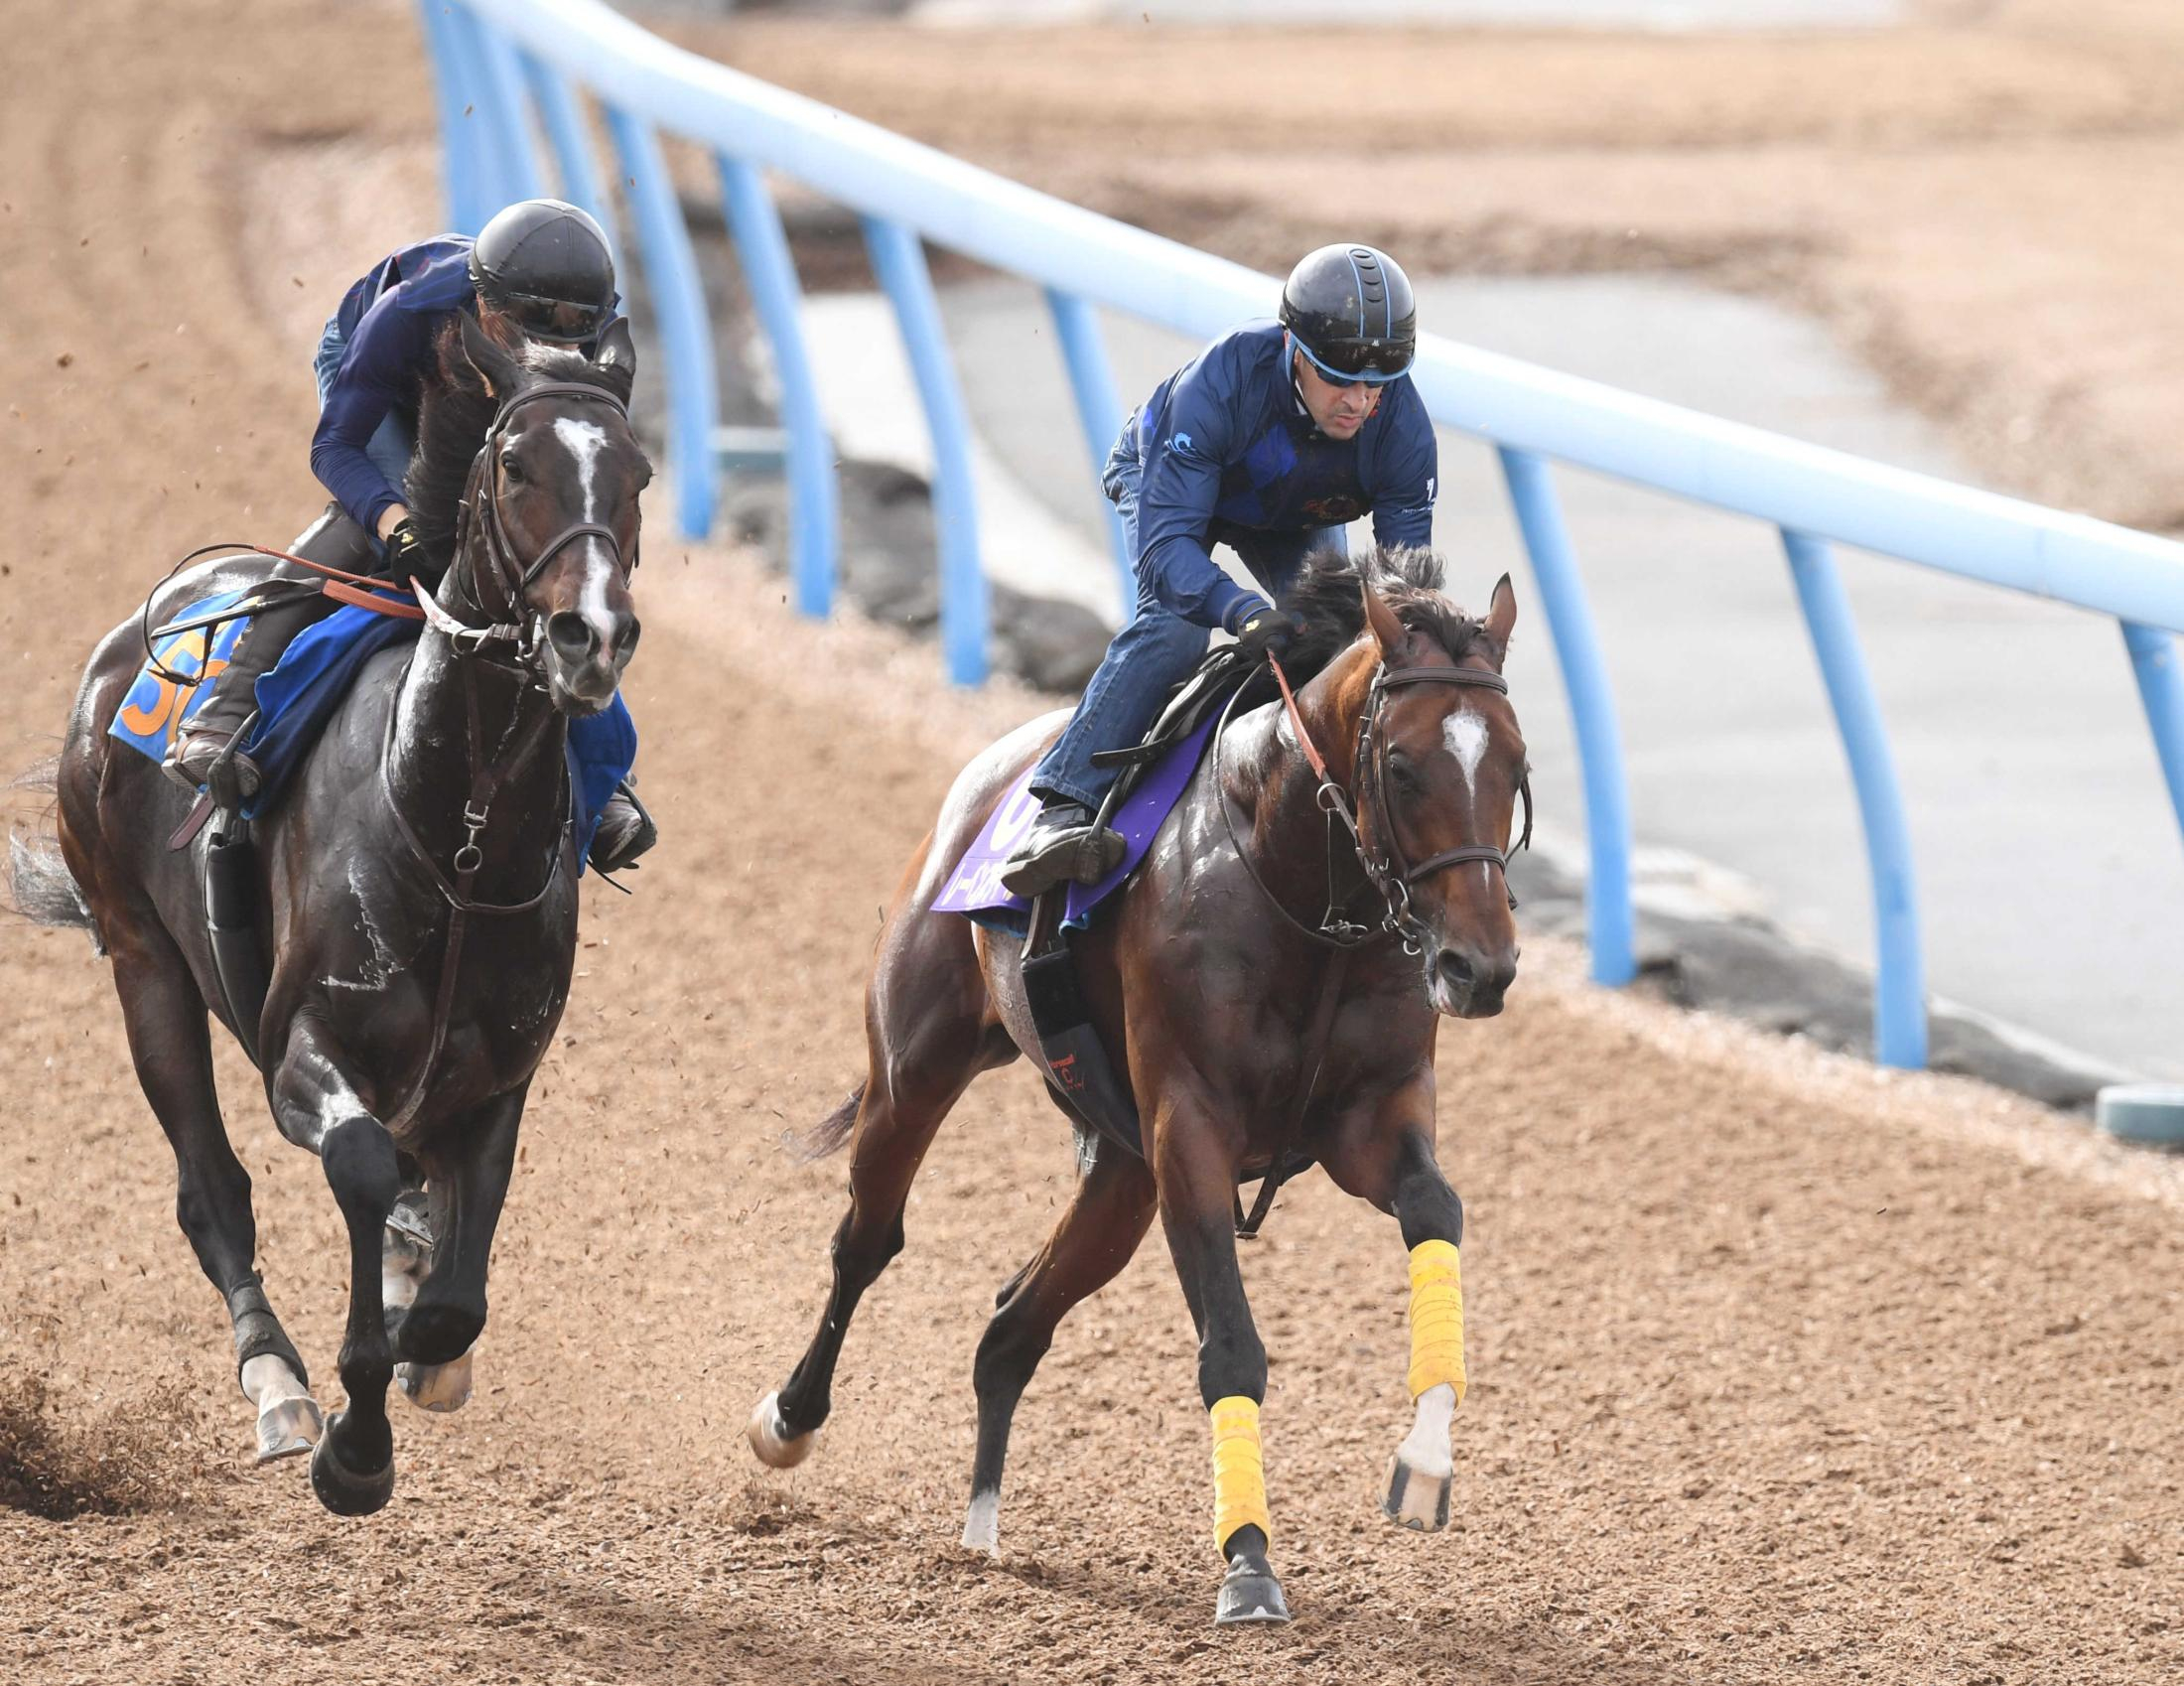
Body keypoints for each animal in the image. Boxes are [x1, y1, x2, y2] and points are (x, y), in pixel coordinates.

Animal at [12, 316, 650, 1511]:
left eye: (635, 474)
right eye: (513, 464)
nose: (589, 635)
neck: (458, 833)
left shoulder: (496, 1075)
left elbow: (454, 1294)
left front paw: (417, 1346)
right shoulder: (303, 1046)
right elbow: (356, 1169)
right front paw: (354, 1445)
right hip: (142, 958)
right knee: (212, 1190)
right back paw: (278, 1384)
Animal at [759, 550, 1529, 1616]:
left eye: (1516, 765)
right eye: (1405, 765)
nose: (1479, 968)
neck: (1299, 888)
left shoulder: (1371, 1116)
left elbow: (1436, 1211)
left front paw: (1424, 1464)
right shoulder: (1189, 1130)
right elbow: (1230, 1344)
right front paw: (1248, 1563)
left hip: (1120, 1178)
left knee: (1010, 1328)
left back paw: (982, 1534)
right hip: (917, 1069)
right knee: (868, 1241)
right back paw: (788, 1420)